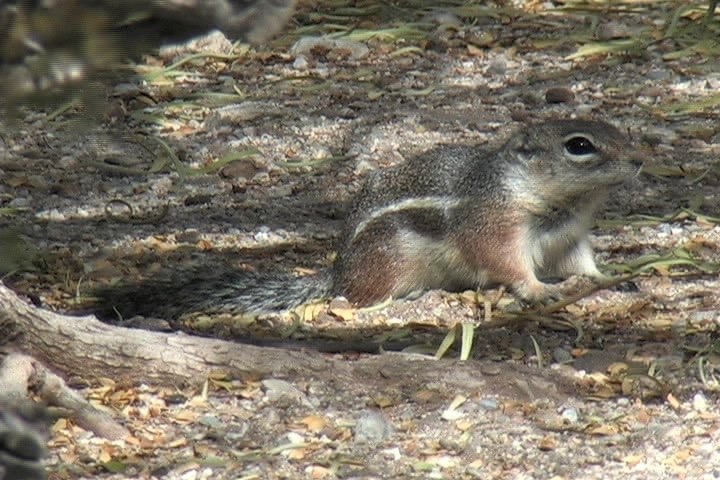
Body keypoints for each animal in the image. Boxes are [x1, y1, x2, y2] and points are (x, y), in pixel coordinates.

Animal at [95, 117, 640, 318]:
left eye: (615, 128)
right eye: (579, 146)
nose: (638, 160)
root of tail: (337, 270)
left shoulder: (569, 237)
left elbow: (583, 264)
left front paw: (612, 276)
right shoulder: (495, 225)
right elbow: (507, 265)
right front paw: (539, 290)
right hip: (390, 259)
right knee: (354, 299)